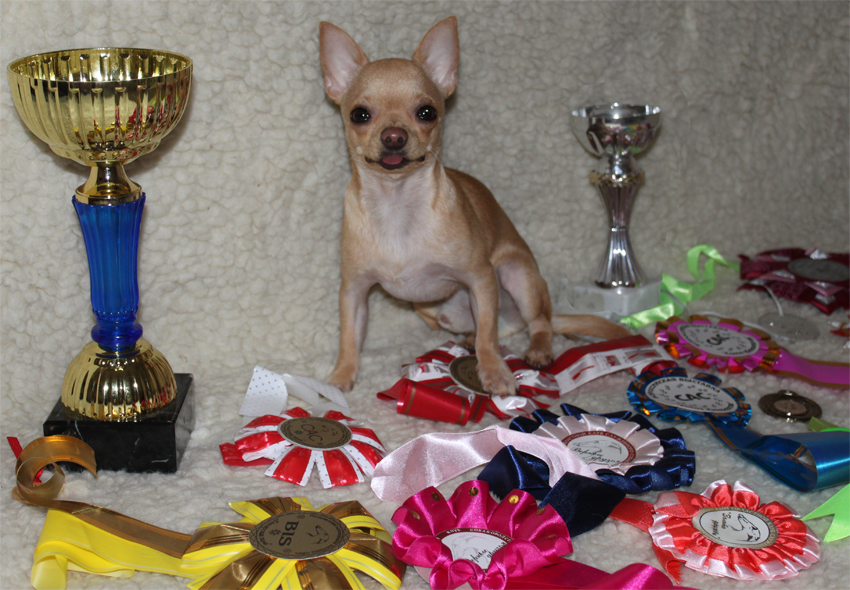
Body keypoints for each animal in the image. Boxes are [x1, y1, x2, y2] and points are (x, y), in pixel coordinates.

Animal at [320, 17, 630, 396]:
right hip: (434, 312)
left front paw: (495, 372)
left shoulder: (480, 279)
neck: (397, 205)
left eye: (427, 112)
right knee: (493, 327)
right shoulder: (354, 291)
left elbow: (489, 338)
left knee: (536, 323)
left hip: (516, 276)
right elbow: (349, 337)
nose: (394, 136)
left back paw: (537, 350)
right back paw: (468, 339)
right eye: (359, 115)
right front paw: (341, 375)